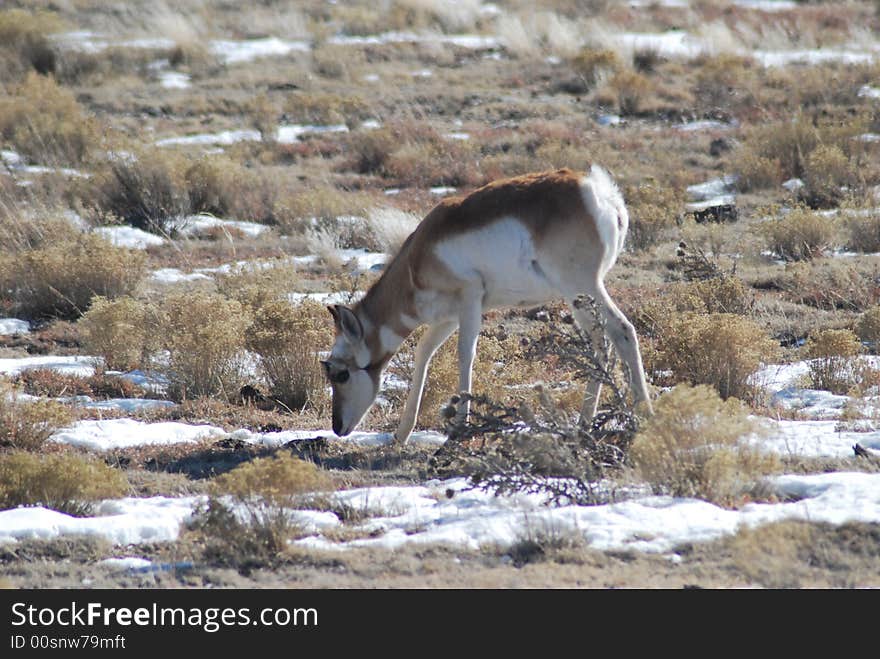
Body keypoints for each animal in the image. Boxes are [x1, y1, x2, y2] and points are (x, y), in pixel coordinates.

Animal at [324, 165, 652, 444]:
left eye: (341, 374)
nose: (337, 427)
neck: (416, 259)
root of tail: (600, 192)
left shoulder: (469, 301)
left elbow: (465, 354)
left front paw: (458, 429)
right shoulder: (448, 318)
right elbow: (423, 352)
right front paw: (402, 433)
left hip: (581, 288)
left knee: (622, 332)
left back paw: (643, 418)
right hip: (579, 298)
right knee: (601, 344)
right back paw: (585, 424)